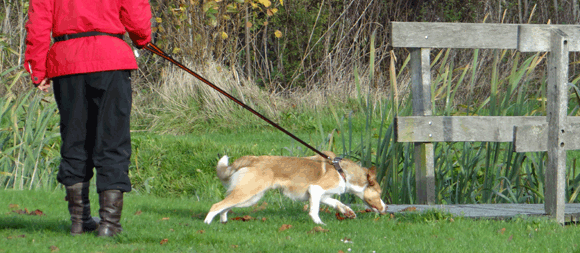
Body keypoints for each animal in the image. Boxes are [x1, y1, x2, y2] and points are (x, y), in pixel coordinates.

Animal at [202, 151, 388, 224]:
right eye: (379, 193)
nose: (386, 208)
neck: (342, 171)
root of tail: (253, 159)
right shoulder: (316, 190)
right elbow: (314, 210)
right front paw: (319, 224)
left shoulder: (323, 195)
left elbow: (337, 203)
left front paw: (347, 211)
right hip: (248, 193)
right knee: (217, 205)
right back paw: (207, 223)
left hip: (250, 197)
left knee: (226, 206)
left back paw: (223, 221)